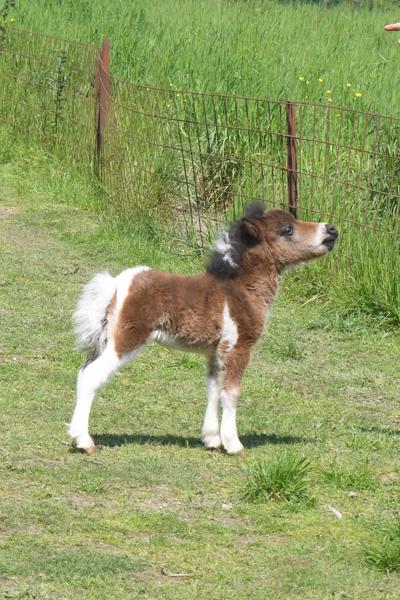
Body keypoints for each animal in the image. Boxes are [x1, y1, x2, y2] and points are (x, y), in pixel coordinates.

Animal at [69, 205, 338, 454]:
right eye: (287, 230)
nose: (331, 230)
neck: (239, 290)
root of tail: (115, 285)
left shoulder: (215, 351)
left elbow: (213, 389)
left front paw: (212, 440)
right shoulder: (238, 346)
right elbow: (231, 393)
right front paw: (233, 444)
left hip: (106, 340)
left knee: (82, 373)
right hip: (126, 338)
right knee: (92, 375)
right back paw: (84, 442)